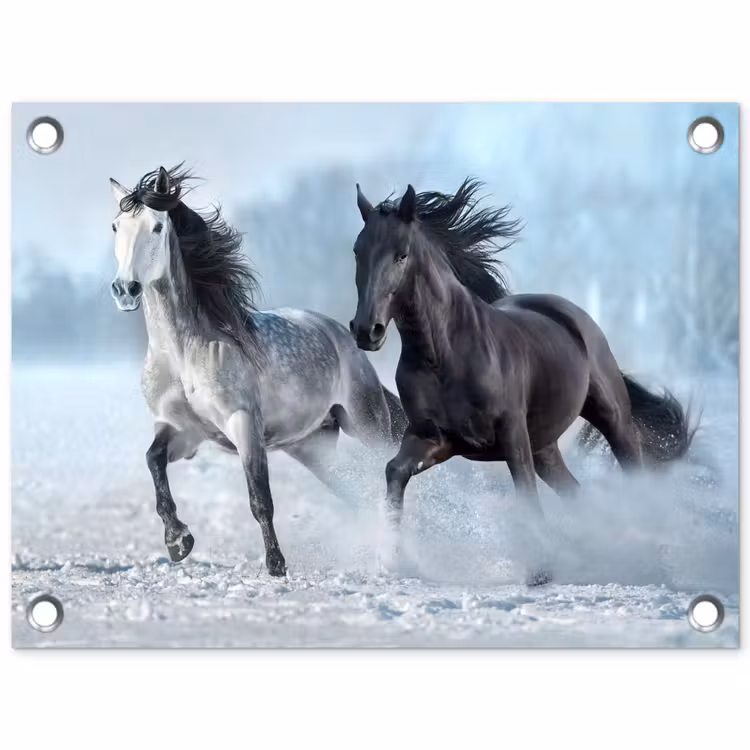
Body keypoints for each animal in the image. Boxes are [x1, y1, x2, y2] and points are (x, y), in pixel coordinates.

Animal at [109, 165, 406, 576]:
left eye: (156, 227)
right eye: (116, 226)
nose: (126, 290)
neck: (184, 354)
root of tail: (343, 337)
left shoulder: (244, 424)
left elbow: (260, 498)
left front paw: (276, 565)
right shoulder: (182, 431)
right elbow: (153, 461)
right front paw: (178, 541)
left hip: (367, 425)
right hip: (312, 447)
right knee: (357, 491)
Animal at [350, 178, 693, 583]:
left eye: (401, 255)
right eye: (357, 251)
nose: (366, 331)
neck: (445, 354)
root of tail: (572, 315)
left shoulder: (512, 436)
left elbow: (525, 494)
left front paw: (540, 571)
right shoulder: (435, 439)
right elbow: (395, 471)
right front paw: (393, 559)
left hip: (611, 418)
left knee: (631, 471)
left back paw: (649, 560)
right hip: (545, 446)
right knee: (575, 493)